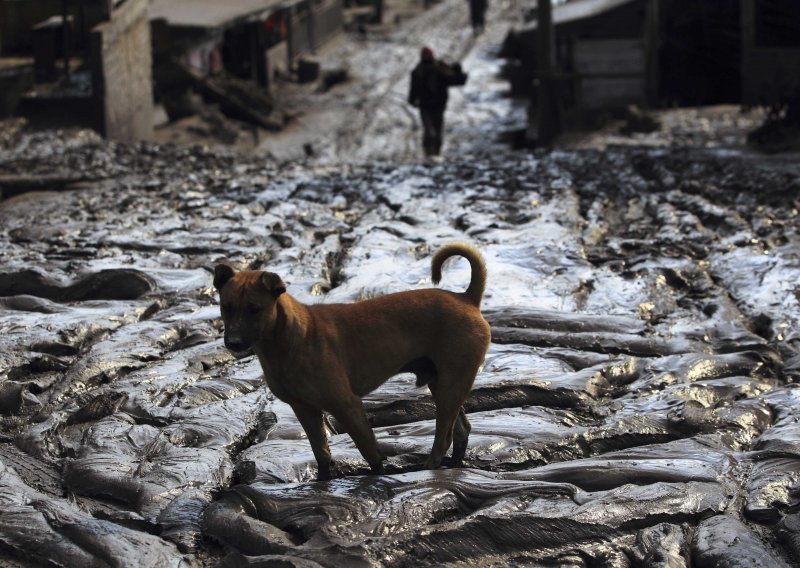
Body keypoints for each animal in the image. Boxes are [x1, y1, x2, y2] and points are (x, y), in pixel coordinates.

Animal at [214, 243, 488, 480]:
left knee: (444, 437)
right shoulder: (304, 409)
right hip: (443, 384)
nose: (233, 342)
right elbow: (321, 452)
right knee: (461, 431)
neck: (287, 339)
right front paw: (323, 482)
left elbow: (369, 450)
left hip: (451, 384)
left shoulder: (347, 404)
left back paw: (430, 467)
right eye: (226, 306)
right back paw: (454, 465)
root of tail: (467, 298)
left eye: (255, 309)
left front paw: (378, 476)